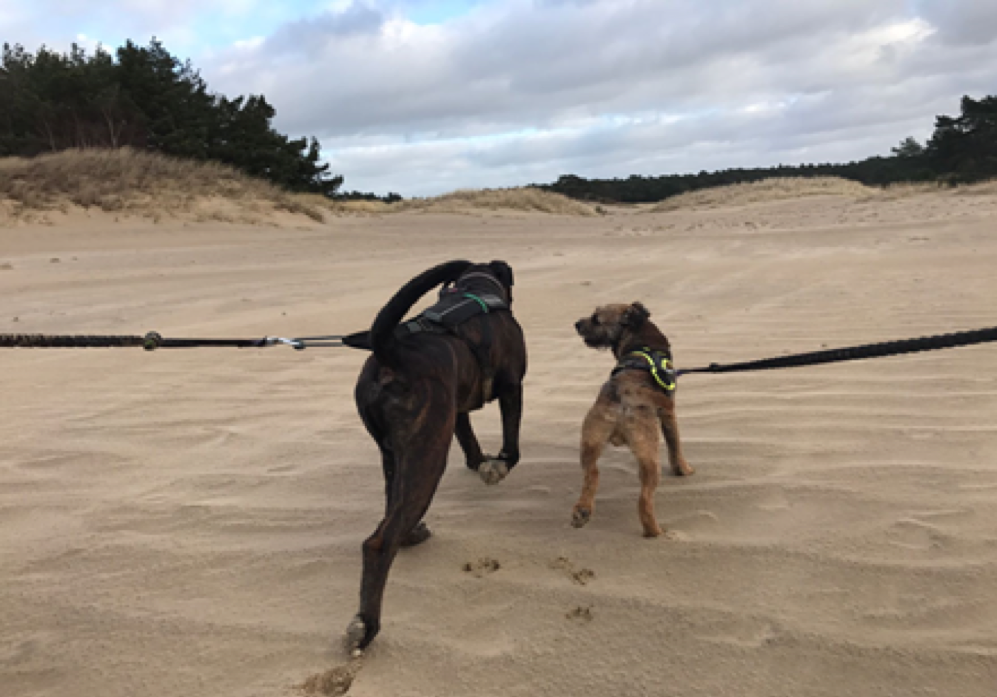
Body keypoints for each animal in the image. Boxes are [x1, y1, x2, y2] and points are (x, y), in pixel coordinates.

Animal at [346, 260, 527, 651]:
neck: (475, 287)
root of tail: (391, 353)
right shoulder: (512, 386)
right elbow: (512, 445)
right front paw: (498, 466)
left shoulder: (456, 412)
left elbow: (470, 443)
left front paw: (480, 462)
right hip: (427, 456)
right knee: (379, 542)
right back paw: (367, 625)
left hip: (396, 455)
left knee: (392, 510)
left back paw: (411, 534)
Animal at [572, 302, 693, 537]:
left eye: (596, 318)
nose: (577, 323)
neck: (639, 338)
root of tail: (622, 396)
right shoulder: (668, 414)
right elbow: (675, 447)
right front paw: (683, 470)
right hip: (649, 454)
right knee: (644, 500)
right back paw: (655, 531)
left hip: (590, 441)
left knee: (592, 475)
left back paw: (582, 512)